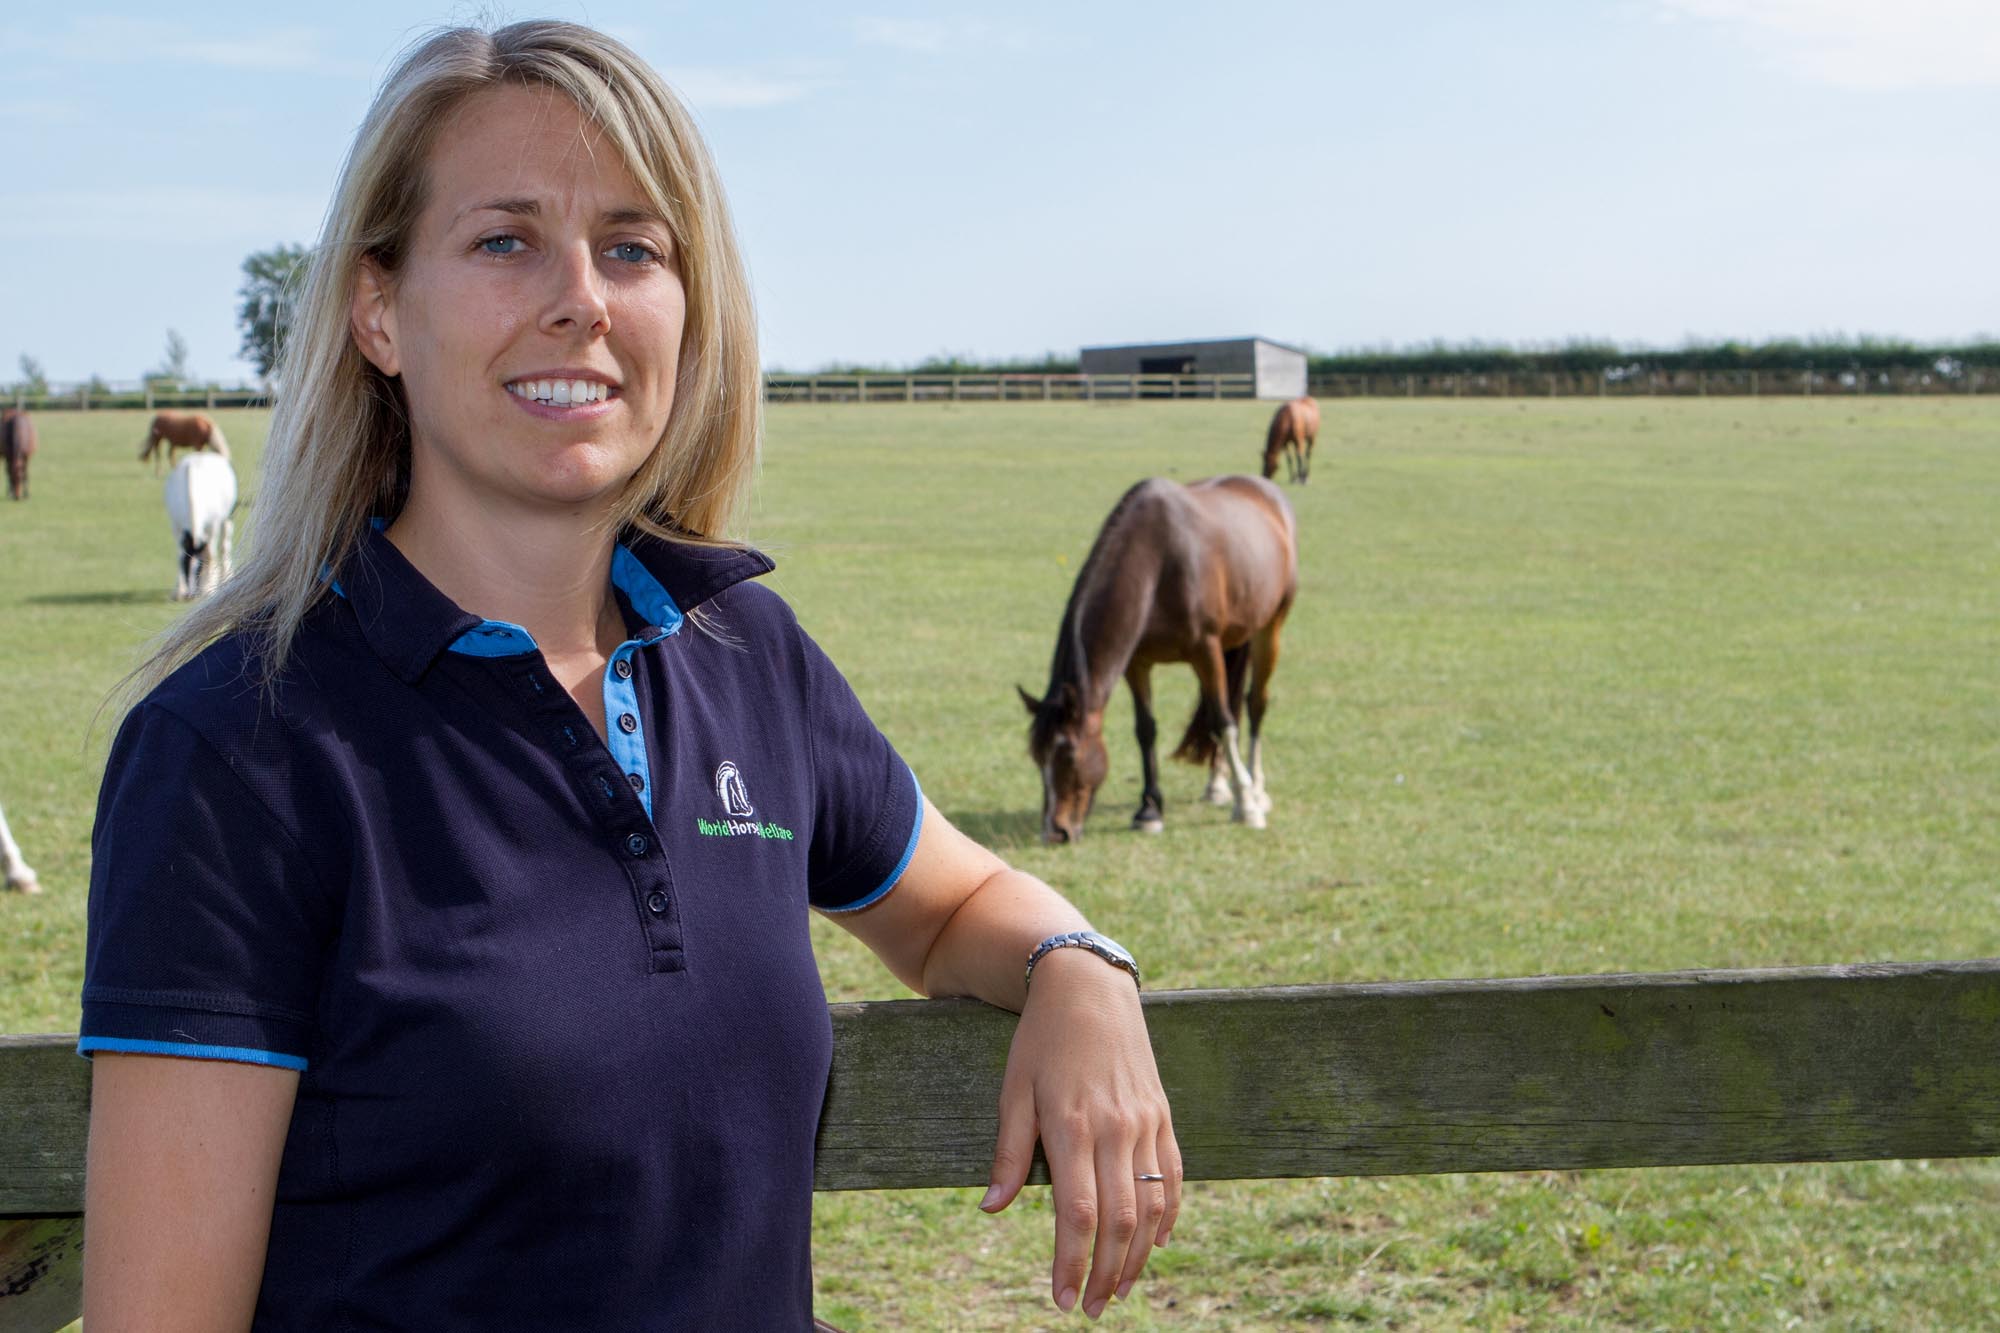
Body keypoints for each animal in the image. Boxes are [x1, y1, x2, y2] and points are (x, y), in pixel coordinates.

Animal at [165, 448, 239, 592]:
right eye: (185, 564)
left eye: (199, 567)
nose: (191, 593)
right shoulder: (176, 526)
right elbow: (180, 552)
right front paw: (180, 590)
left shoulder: (214, 526)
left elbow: (210, 554)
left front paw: (208, 586)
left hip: (227, 518)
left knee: (224, 546)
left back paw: (225, 576)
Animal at [1016, 472, 1296, 836]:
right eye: (1038, 757)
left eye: (1069, 755)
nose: (1054, 832)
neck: (1158, 564)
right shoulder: (1137, 663)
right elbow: (1146, 729)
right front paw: (1149, 810)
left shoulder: (1206, 651)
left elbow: (1223, 722)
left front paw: (1247, 806)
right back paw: (1218, 785)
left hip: (1269, 628)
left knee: (1253, 705)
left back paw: (1256, 790)